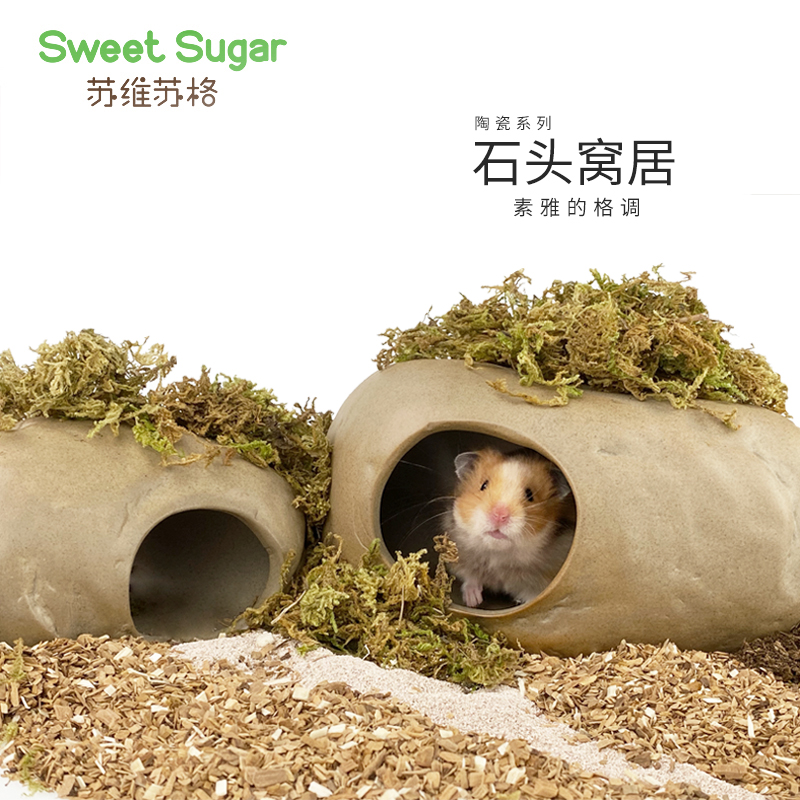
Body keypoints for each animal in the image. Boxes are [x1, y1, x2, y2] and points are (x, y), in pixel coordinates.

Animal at [446, 448, 574, 608]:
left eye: (530, 495)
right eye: (483, 485)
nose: (499, 516)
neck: (498, 555)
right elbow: (470, 577)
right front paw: (473, 602)